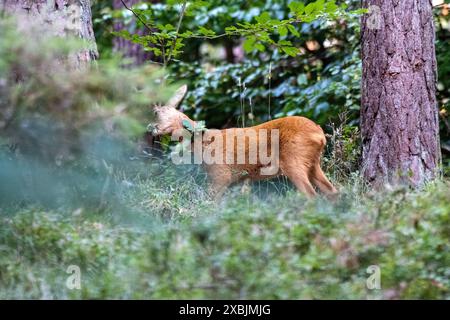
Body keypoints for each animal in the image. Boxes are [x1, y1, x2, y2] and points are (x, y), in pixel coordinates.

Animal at [151, 85, 338, 200]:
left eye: (156, 113)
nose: (151, 128)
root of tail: (320, 135)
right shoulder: (237, 181)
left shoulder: (221, 174)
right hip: (313, 163)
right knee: (333, 192)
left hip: (294, 159)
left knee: (312, 195)